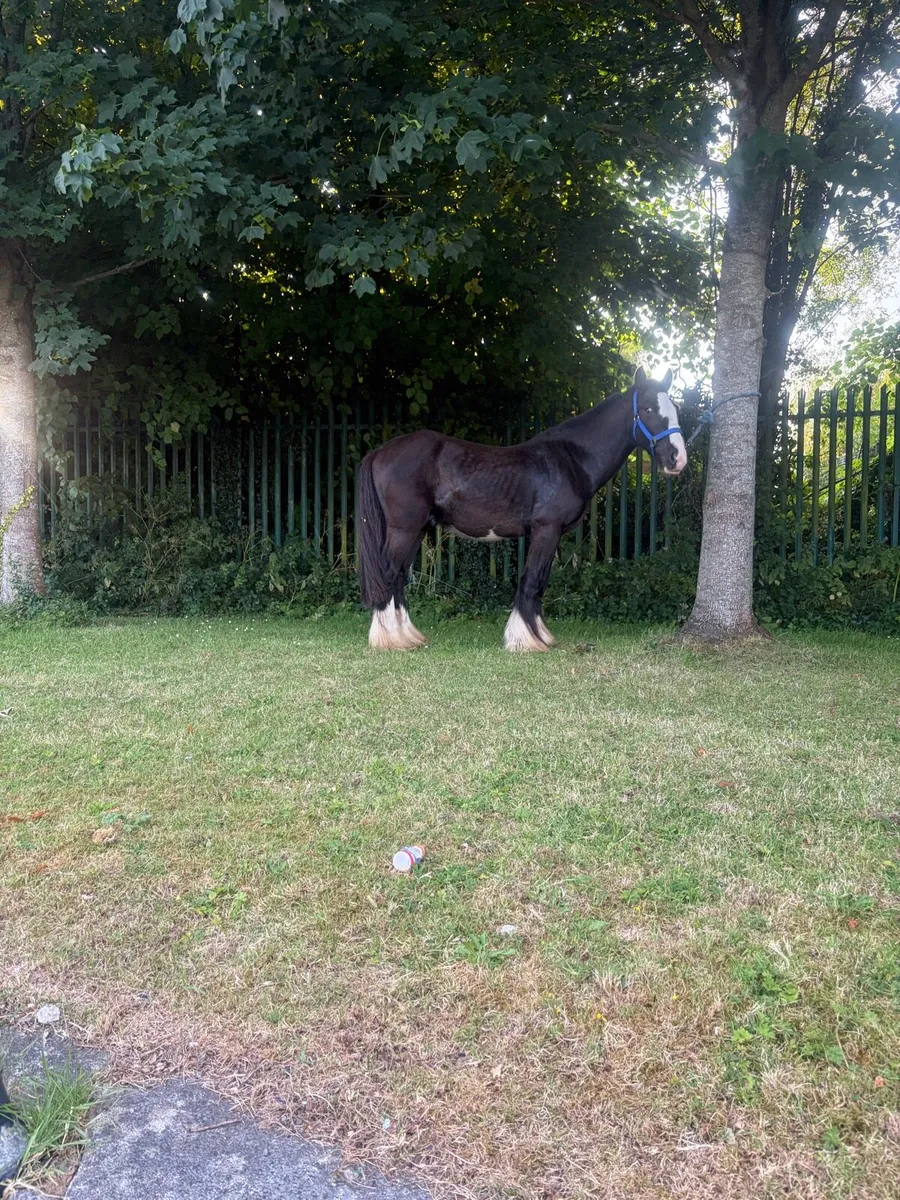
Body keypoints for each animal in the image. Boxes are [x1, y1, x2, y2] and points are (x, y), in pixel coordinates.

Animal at [357, 367, 687, 651]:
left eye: (674, 409)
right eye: (648, 409)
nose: (677, 458)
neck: (570, 458)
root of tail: (380, 451)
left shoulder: (551, 535)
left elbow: (540, 582)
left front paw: (539, 635)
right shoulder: (545, 530)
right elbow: (532, 580)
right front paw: (526, 640)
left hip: (417, 529)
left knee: (399, 577)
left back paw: (407, 636)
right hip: (404, 528)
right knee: (388, 573)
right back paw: (389, 640)